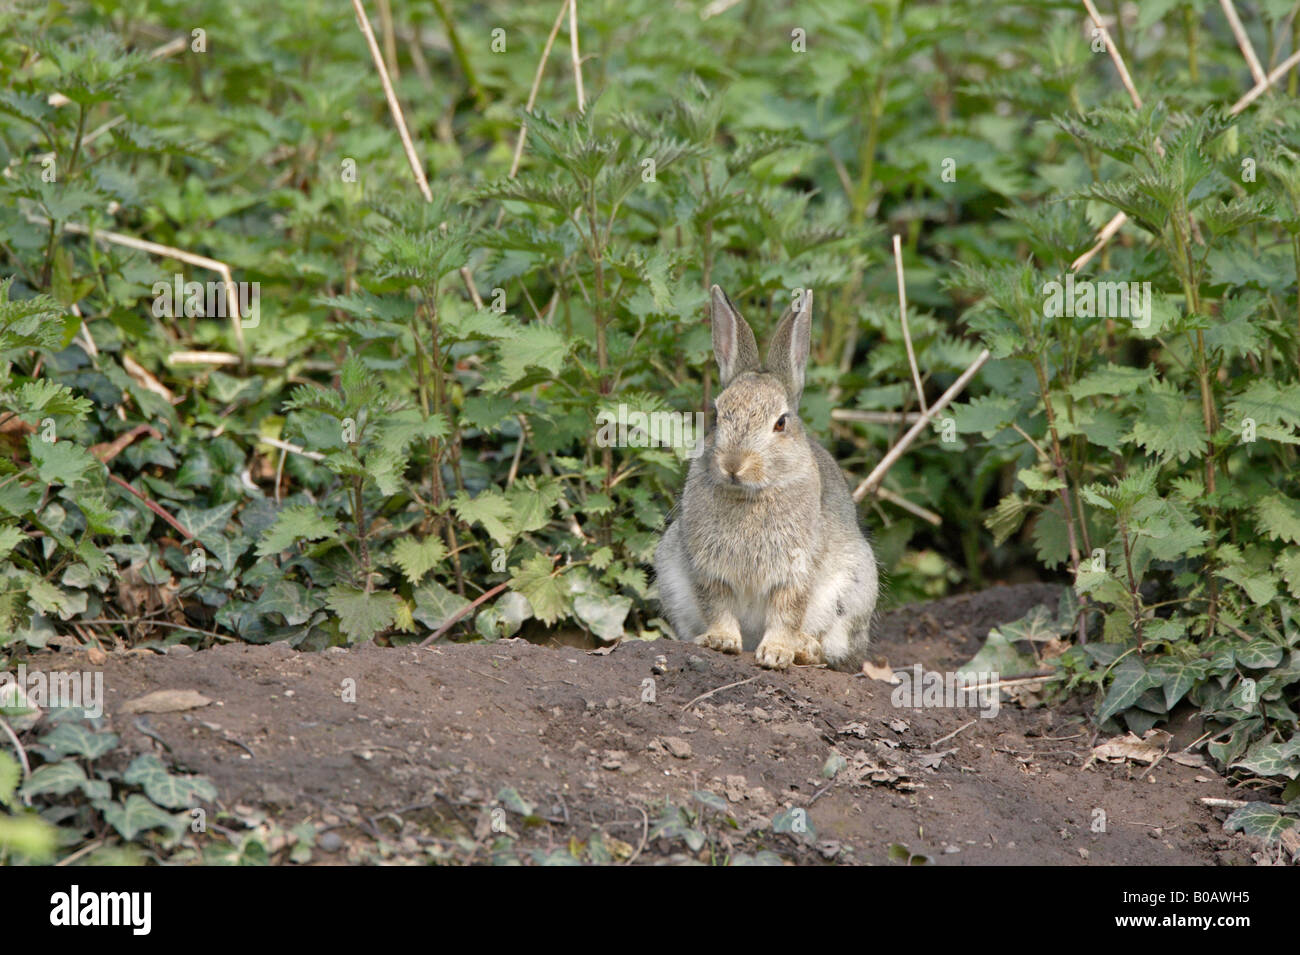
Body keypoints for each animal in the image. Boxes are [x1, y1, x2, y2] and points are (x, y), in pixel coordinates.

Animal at [655, 285, 878, 670]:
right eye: (717, 415)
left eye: (781, 423)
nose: (734, 464)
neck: (752, 493)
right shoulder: (708, 570)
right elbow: (718, 606)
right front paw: (722, 641)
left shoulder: (795, 572)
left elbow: (786, 611)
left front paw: (776, 653)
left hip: (854, 589)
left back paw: (804, 649)